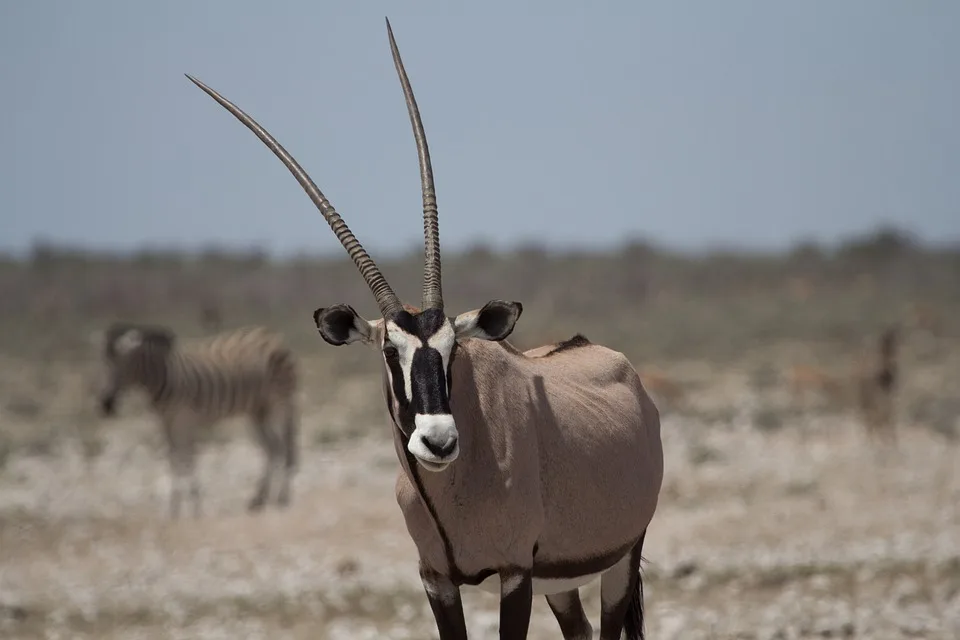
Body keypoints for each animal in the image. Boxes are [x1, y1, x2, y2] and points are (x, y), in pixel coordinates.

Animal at [94, 322, 298, 516]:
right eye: (102, 364)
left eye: (123, 366)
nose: (106, 405)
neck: (164, 376)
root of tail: (272, 334)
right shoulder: (166, 422)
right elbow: (174, 461)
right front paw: (174, 510)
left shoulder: (184, 419)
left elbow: (187, 460)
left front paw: (195, 508)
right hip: (258, 410)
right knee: (272, 448)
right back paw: (259, 500)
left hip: (281, 401)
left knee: (284, 446)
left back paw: (282, 499)